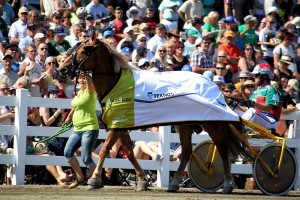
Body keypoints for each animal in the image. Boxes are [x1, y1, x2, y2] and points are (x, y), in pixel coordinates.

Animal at [57, 32, 247, 193]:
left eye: (84, 50)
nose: (61, 70)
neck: (116, 84)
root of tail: (212, 84)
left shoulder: (117, 125)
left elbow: (104, 149)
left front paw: (94, 179)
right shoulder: (121, 125)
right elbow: (129, 152)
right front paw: (142, 180)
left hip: (211, 122)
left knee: (222, 148)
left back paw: (227, 184)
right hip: (185, 124)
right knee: (186, 151)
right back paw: (174, 183)